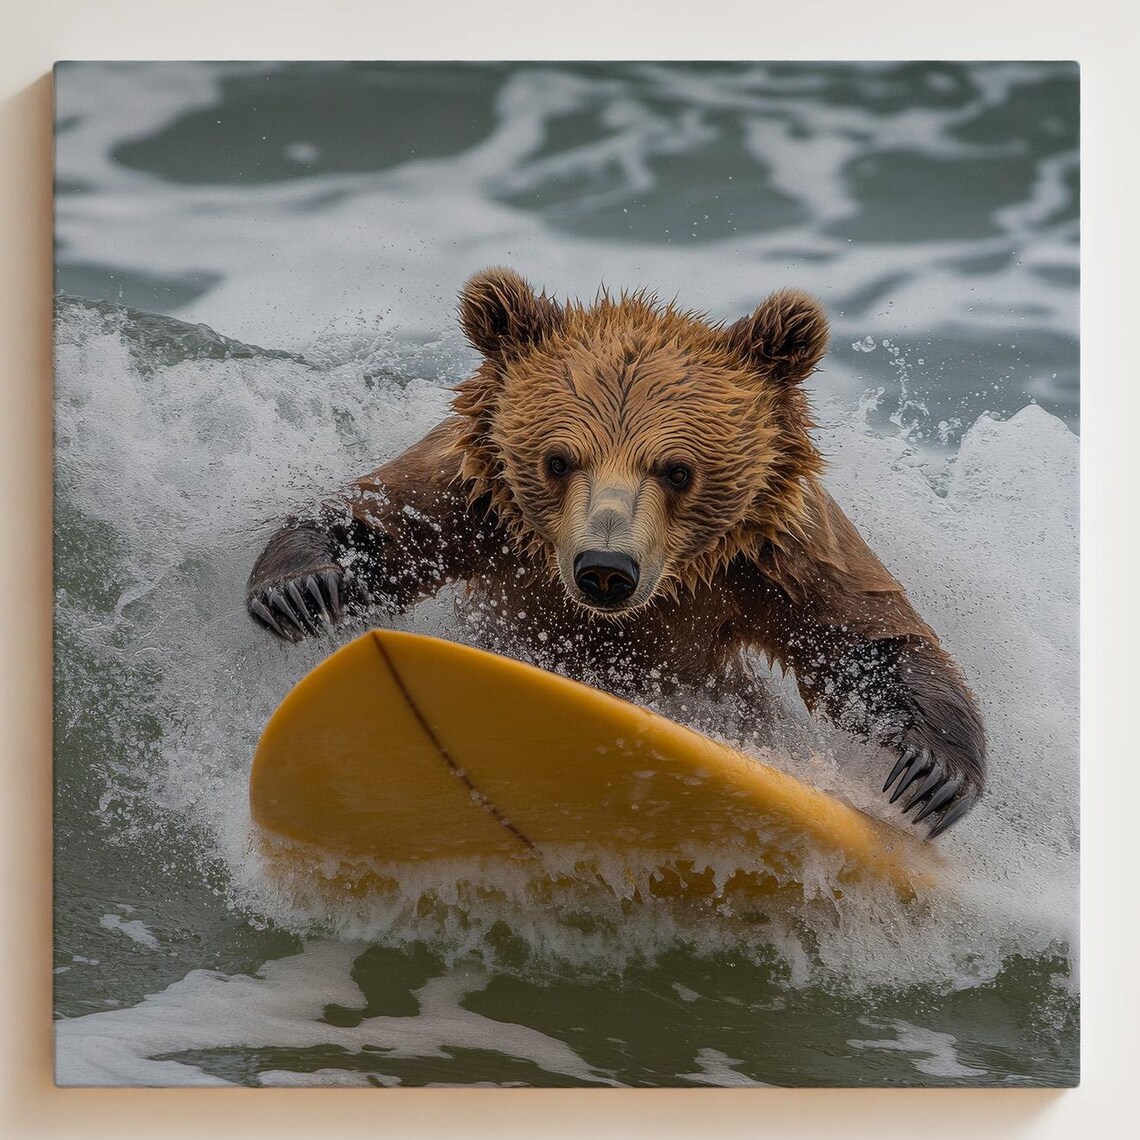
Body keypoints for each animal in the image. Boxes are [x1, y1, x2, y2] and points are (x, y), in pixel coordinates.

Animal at [246, 268, 985, 837]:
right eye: (557, 459)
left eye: (678, 469)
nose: (606, 568)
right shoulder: (476, 498)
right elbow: (386, 520)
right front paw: (298, 588)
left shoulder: (777, 548)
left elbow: (861, 638)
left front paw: (932, 773)